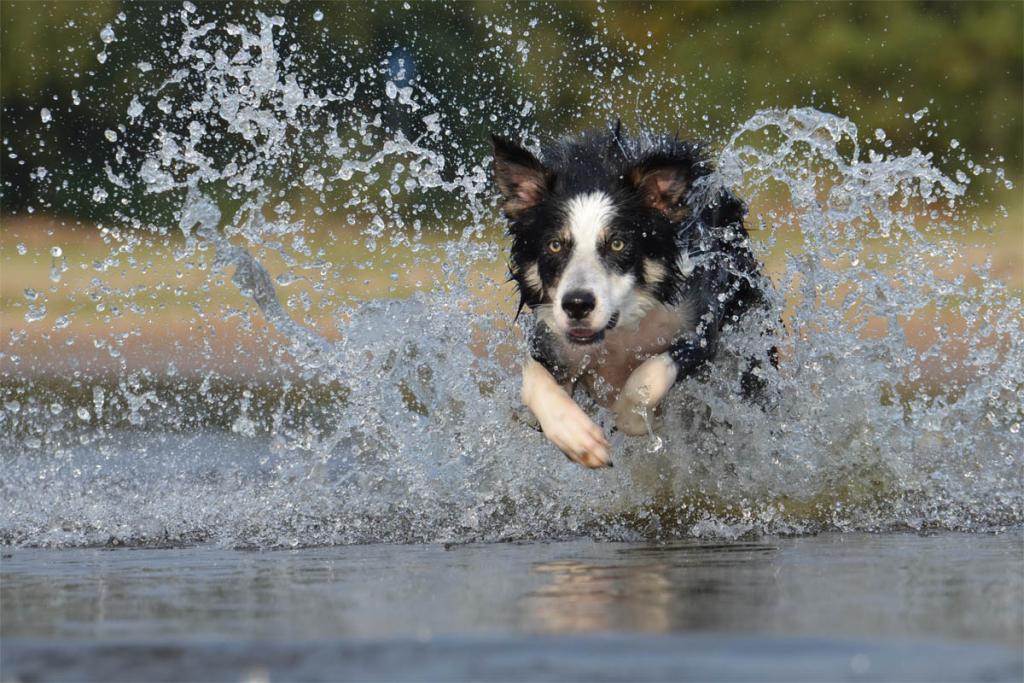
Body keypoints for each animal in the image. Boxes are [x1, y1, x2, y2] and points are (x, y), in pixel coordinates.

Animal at [491, 125, 770, 471]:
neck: (619, 330)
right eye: (554, 245)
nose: (577, 305)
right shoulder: (551, 340)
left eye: (618, 244)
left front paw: (633, 418)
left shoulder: (700, 327)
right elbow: (532, 379)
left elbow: (648, 376)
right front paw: (577, 437)